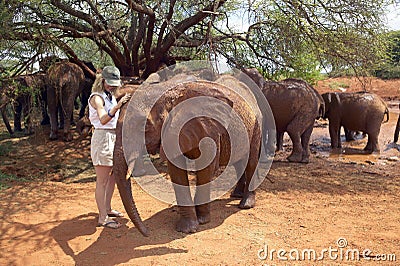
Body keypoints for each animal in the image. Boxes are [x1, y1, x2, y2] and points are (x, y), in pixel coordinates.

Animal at [113, 74, 262, 234]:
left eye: (143, 126)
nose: (147, 232)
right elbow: (177, 172)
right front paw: (187, 229)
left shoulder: (208, 129)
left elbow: (205, 169)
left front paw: (202, 220)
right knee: (240, 163)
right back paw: (236, 195)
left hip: (256, 125)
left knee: (251, 162)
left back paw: (245, 204)